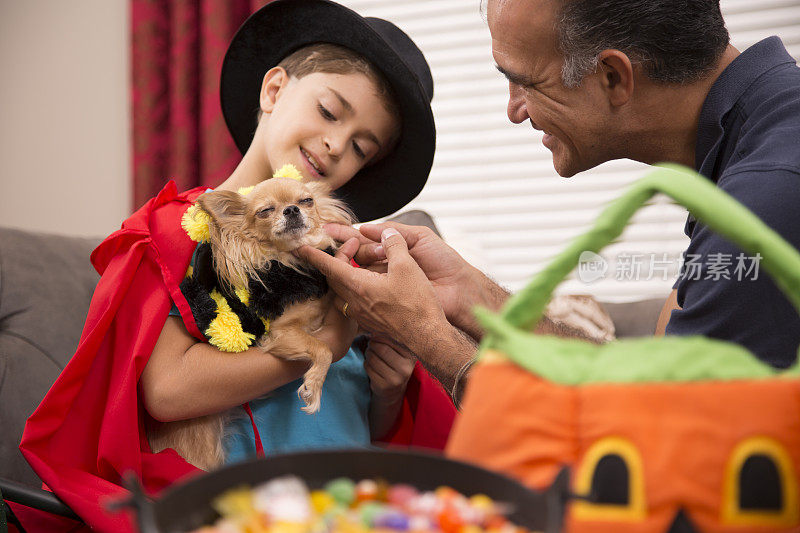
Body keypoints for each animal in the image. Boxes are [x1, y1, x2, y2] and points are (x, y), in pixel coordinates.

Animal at [148, 176, 354, 470]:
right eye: (265, 211)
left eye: (307, 201)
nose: (291, 210)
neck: (290, 265)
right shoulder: (281, 333)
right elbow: (323, 349)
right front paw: (313, 387)